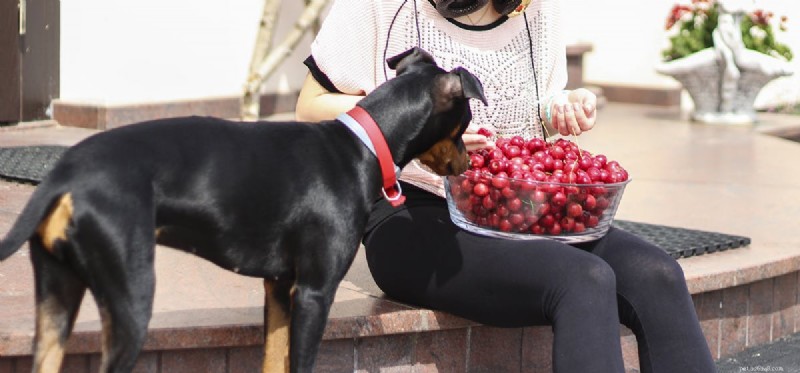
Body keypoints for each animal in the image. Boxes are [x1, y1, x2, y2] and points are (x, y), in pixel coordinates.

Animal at [0, 47, 488, 372]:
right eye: (465, 122)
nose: (469, 162)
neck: (362, 145)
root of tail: (65, 174)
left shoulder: (278, 287)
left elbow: (273, 360)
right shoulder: (314, 292)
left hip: (57, 296)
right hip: (130, 300)